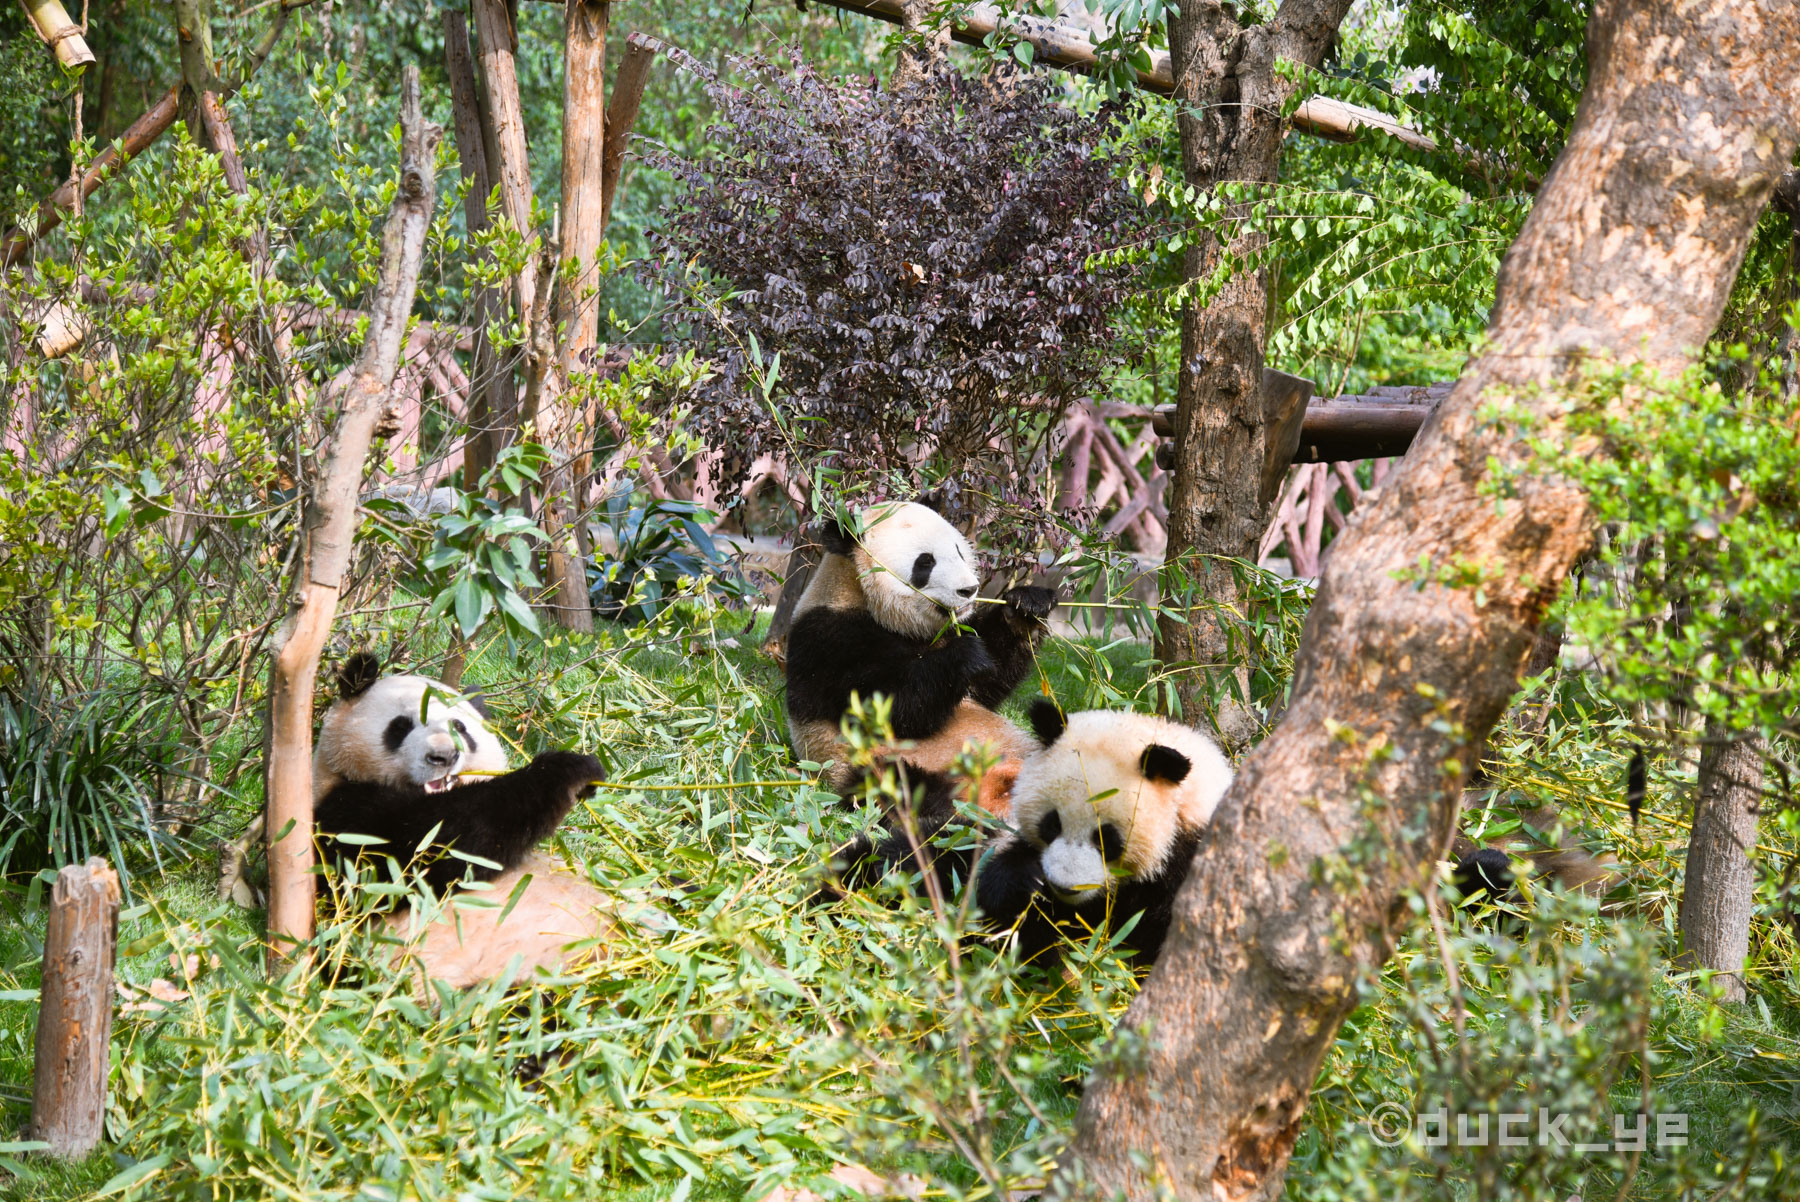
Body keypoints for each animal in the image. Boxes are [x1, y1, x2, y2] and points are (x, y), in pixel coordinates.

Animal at [313, 651, 615, 993]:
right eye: (400, 726)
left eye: (460, 727)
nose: (443, 756)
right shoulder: (348, 823)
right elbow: (442, 844)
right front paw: (570, 768)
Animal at [784, 493, 1051, 813]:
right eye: (925, 563)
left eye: (959, 551)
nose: (969, 589)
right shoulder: (828, 640)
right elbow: (890, 709)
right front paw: (966, 656)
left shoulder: (944, 632)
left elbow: (987, 681)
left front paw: (1026, 607)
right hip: (880, 766)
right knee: (913, 793)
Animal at [820, 694, 1231, 964]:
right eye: (1051, 824)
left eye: (1106, 839)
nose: (1064, 885)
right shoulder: (996, 834)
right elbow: (987, 887)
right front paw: (1024, 885)